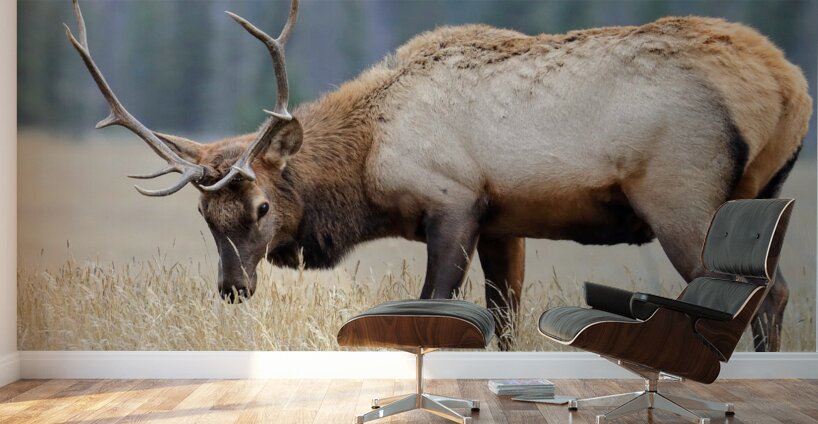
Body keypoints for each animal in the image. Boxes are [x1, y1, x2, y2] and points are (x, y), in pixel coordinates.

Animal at [65, 0, 811, 351]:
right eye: (203, 217)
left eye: (261, 209)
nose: (233, 289)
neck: (370, 156)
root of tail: (789, 87)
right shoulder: (506, 221)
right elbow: (506, 319)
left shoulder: (452, 205)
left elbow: (435, 307)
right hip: (758, 196)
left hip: (685, 198)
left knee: (765, 296)